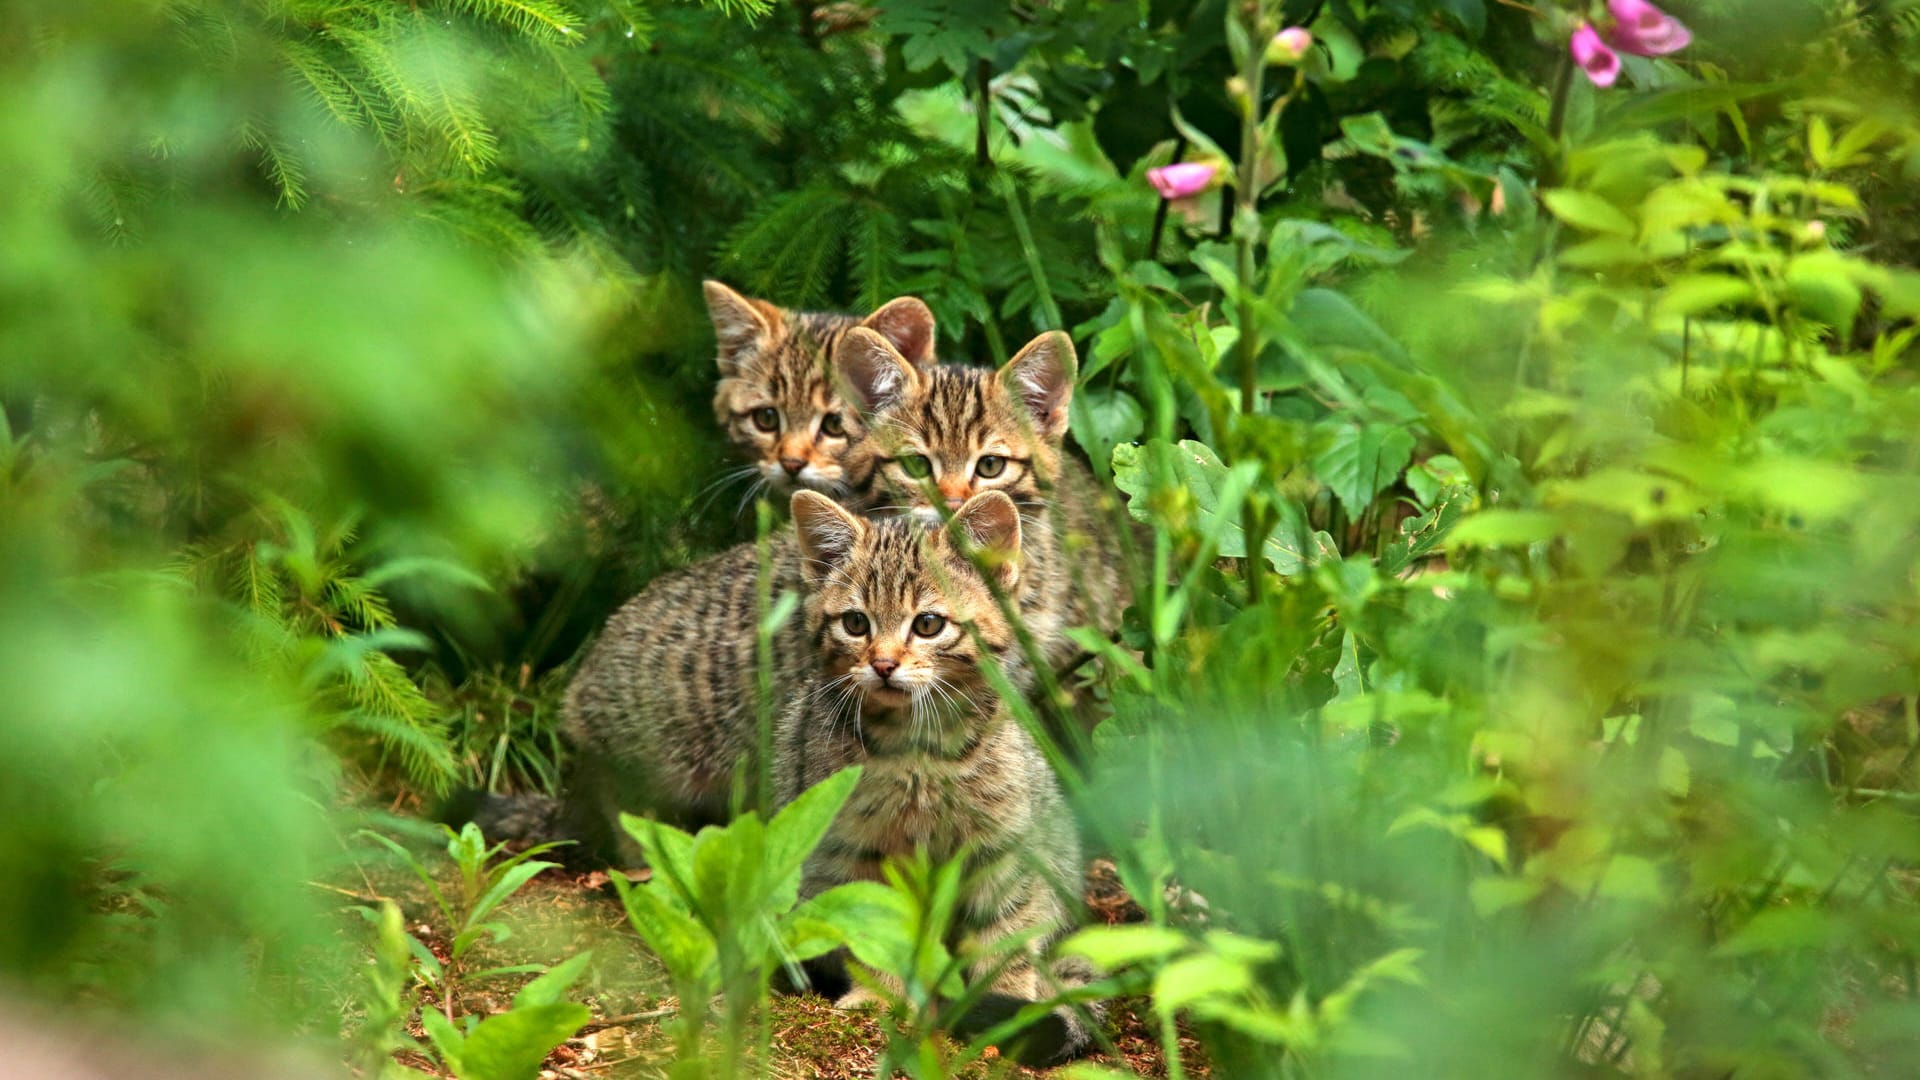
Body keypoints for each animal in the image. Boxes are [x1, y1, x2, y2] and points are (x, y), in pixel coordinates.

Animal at [768, 488, 1098, 1060]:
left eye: (927, 625)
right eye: (856, 624)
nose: (882, 664)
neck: (920, 752)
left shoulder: (1005, 847)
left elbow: (1005, 933)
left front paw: (1005, 1007)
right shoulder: (858, 847)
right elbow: (876, 927)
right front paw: (877, 997)